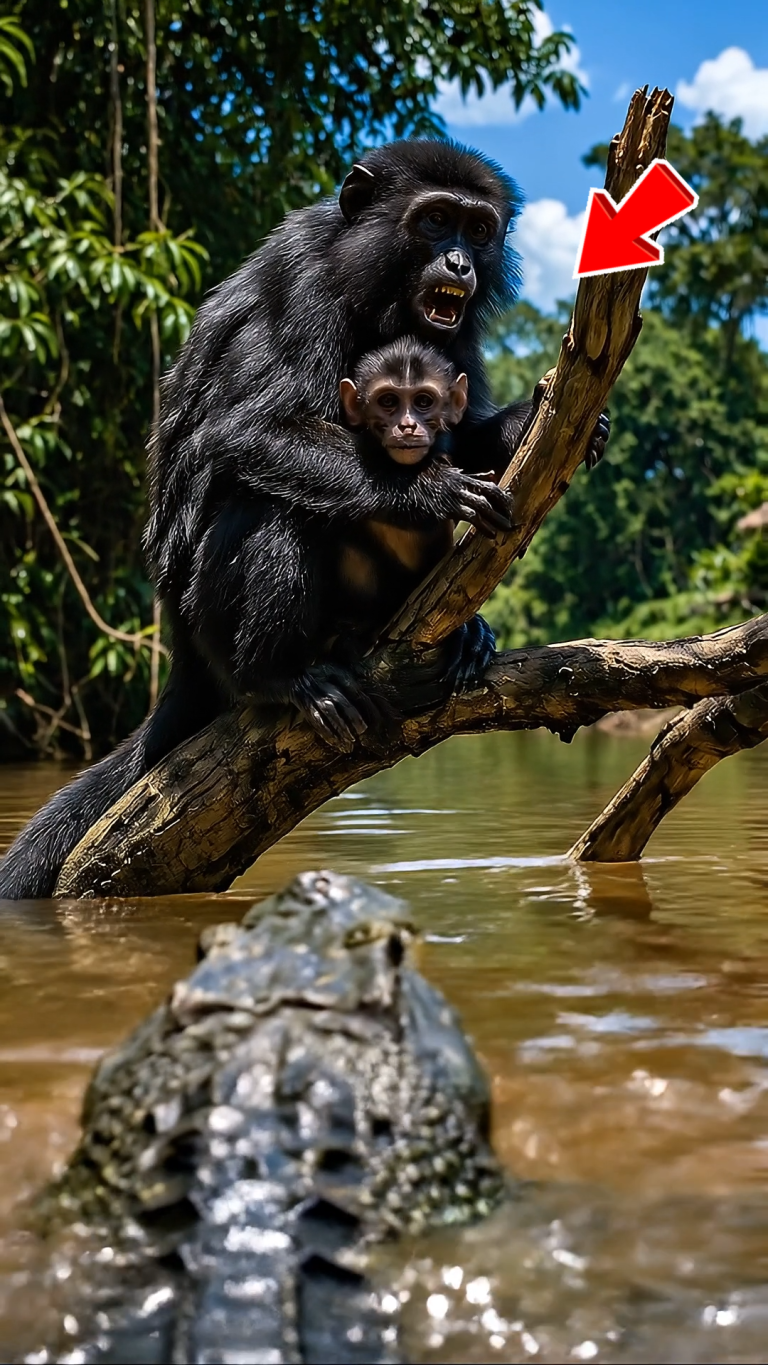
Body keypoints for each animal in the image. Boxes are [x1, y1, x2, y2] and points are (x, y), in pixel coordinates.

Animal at [0, 138, 609, 900]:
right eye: (436, 220)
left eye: (478, 228)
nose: (460, 264)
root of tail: (181, 651)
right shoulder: (306, 288)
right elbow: (243, 432)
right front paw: (429, 490)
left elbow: (462, 427)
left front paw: (530, 423)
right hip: (206, 621)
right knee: (271, 506)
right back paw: (278, 675)